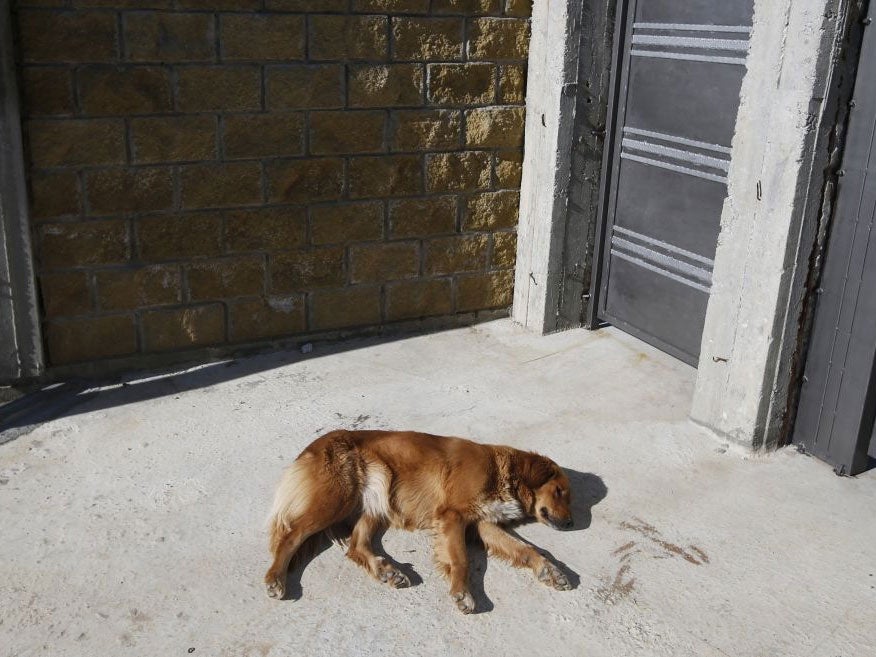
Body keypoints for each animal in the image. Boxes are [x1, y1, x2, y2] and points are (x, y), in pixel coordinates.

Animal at [262, 428, 576, 612]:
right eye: (560, 491)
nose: (572, 524)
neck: (503, 471)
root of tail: (313, 445)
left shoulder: (483, 522)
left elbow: (525, 548)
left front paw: (550, 570)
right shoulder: (453, 516)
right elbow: (460, 559)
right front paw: (462, 592)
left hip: (377, 499)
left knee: (356, 546)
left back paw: (387, 571)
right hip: (337, 498)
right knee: (291, 535)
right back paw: (275, 578)